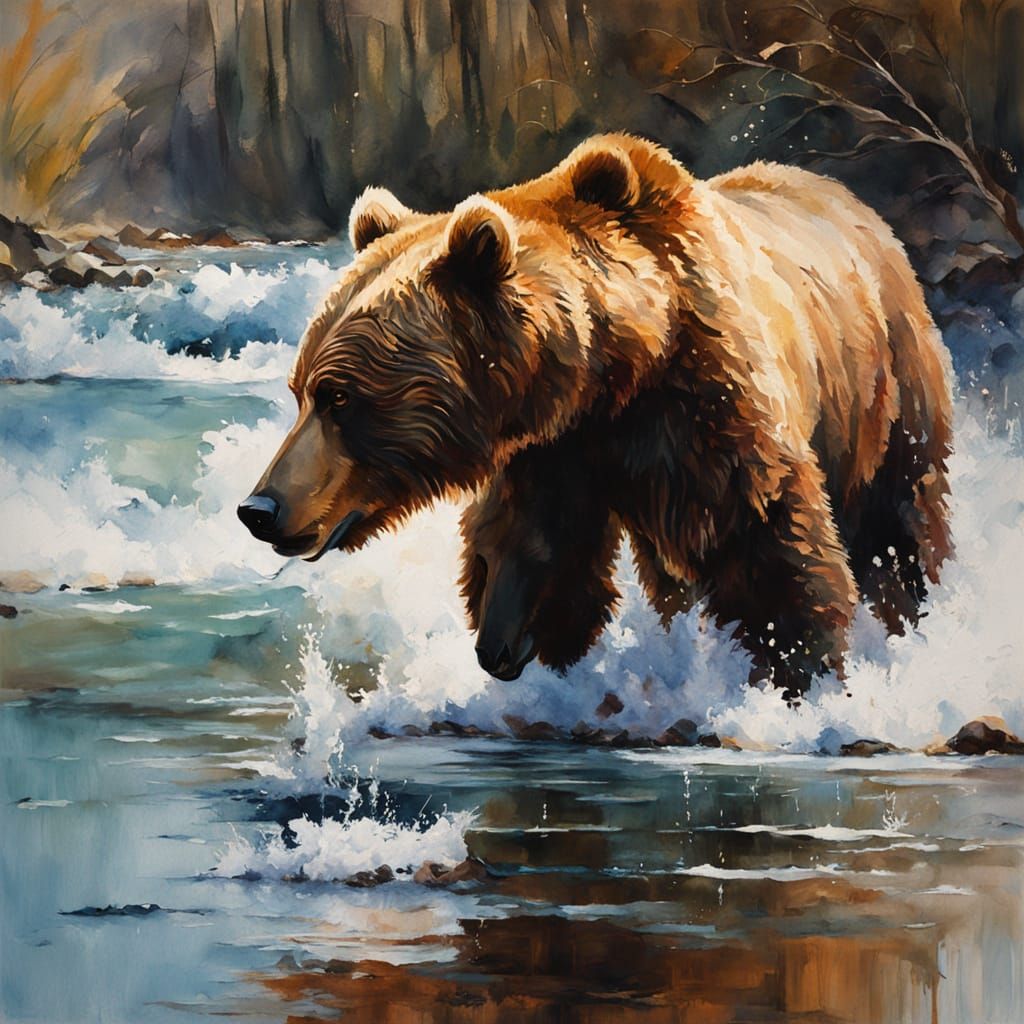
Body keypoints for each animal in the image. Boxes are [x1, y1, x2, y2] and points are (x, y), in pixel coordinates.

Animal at [239, 133, 953, 697]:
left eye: (340, 396)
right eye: (299, 390)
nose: (260, 507)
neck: (611, 369)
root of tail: (855, 202)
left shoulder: (701, 404)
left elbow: (767, 534)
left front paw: (796, 670)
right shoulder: (553, 452)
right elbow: (538, 547)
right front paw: (518, 641)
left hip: (886, 387)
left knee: (898, 524)